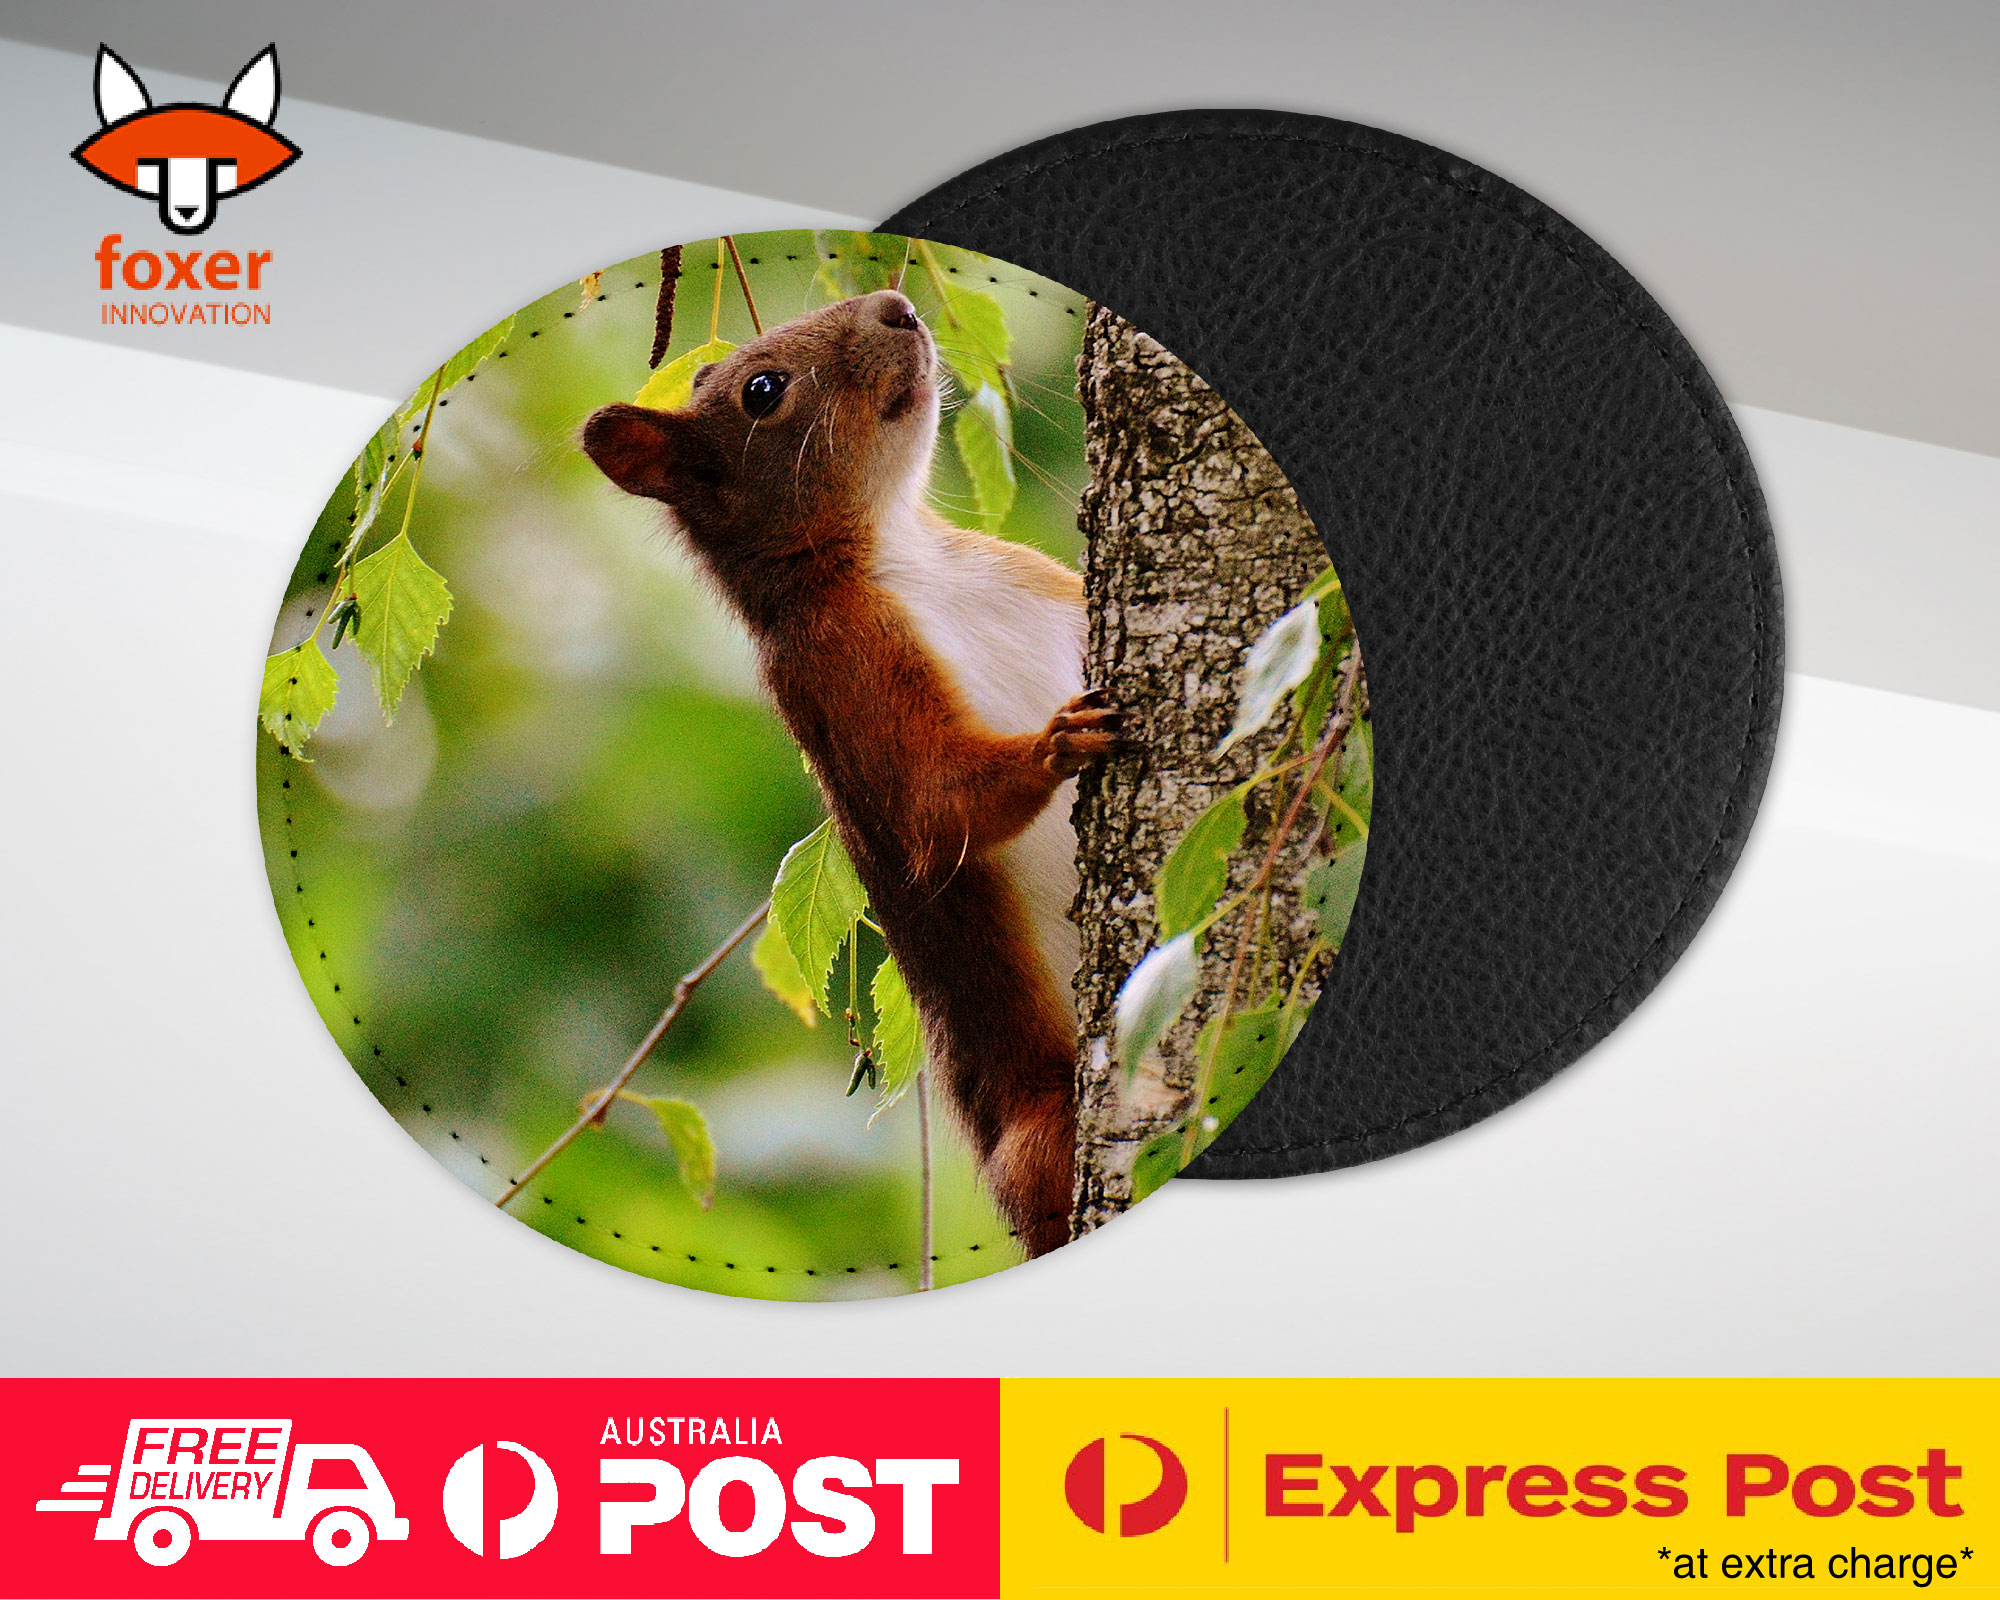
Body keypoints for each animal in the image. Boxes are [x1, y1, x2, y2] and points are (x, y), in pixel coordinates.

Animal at [582, 288, 1122, 1259]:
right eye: (762, 390)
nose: (898, 305)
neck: (903, 551)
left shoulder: (1046, 581)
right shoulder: (836, 670)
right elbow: (936, 806)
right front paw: (1057, 744)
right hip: (1043, 1130)